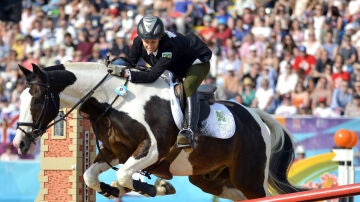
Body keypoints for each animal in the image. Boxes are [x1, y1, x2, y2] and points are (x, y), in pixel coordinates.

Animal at [12, 61, 306, 200]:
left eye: (36, 101)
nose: (19, 144)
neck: (113, 99)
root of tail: (255, 116)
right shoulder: (114, 151)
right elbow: (89, 176)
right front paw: (112, 190)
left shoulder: (152, 149)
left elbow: (125, 175)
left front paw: (157, 188)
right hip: (213, 180)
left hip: (249, 179)